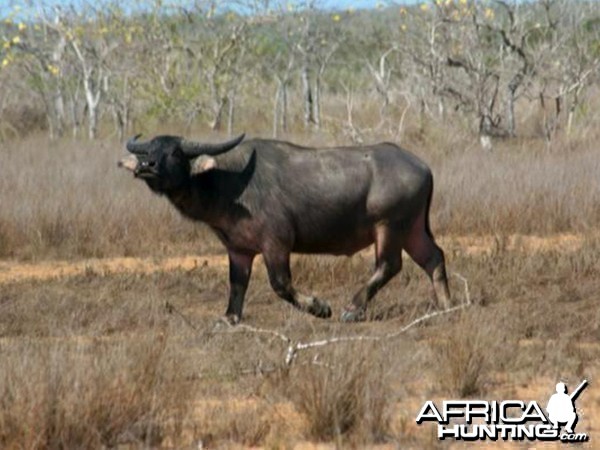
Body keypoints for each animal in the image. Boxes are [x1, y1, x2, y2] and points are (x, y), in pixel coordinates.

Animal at [119, 134, 450, 324]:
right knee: (433, 257)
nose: (146, 166)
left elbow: (280, 284)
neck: (229, 182)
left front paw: (320, 307)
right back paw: (446, 307)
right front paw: (229, 318)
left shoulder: (276, 242)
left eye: (175, 152)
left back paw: (353, 309)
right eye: (148, 150)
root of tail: (422, 166)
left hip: (389, 227)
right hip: (412, 230)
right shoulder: (238, 249)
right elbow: (236, 284)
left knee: (389, 265)